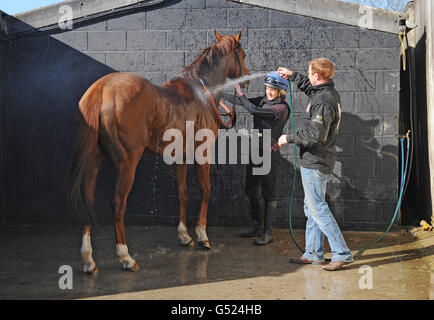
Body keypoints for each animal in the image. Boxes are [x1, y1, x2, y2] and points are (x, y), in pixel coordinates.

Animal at [66, 30, 249, 272]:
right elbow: (206, 190)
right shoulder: (202, 153)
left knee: (87, 199)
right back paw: (125, 257)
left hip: (94, 160)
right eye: (242, 54)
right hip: (128, 162)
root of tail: (101, 89)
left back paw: (88, 259)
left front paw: (184, 236)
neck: (201, 92)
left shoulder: (180, 157)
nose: (246, 79)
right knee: (118, 204)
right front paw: (202, 235)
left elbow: (183, 193)